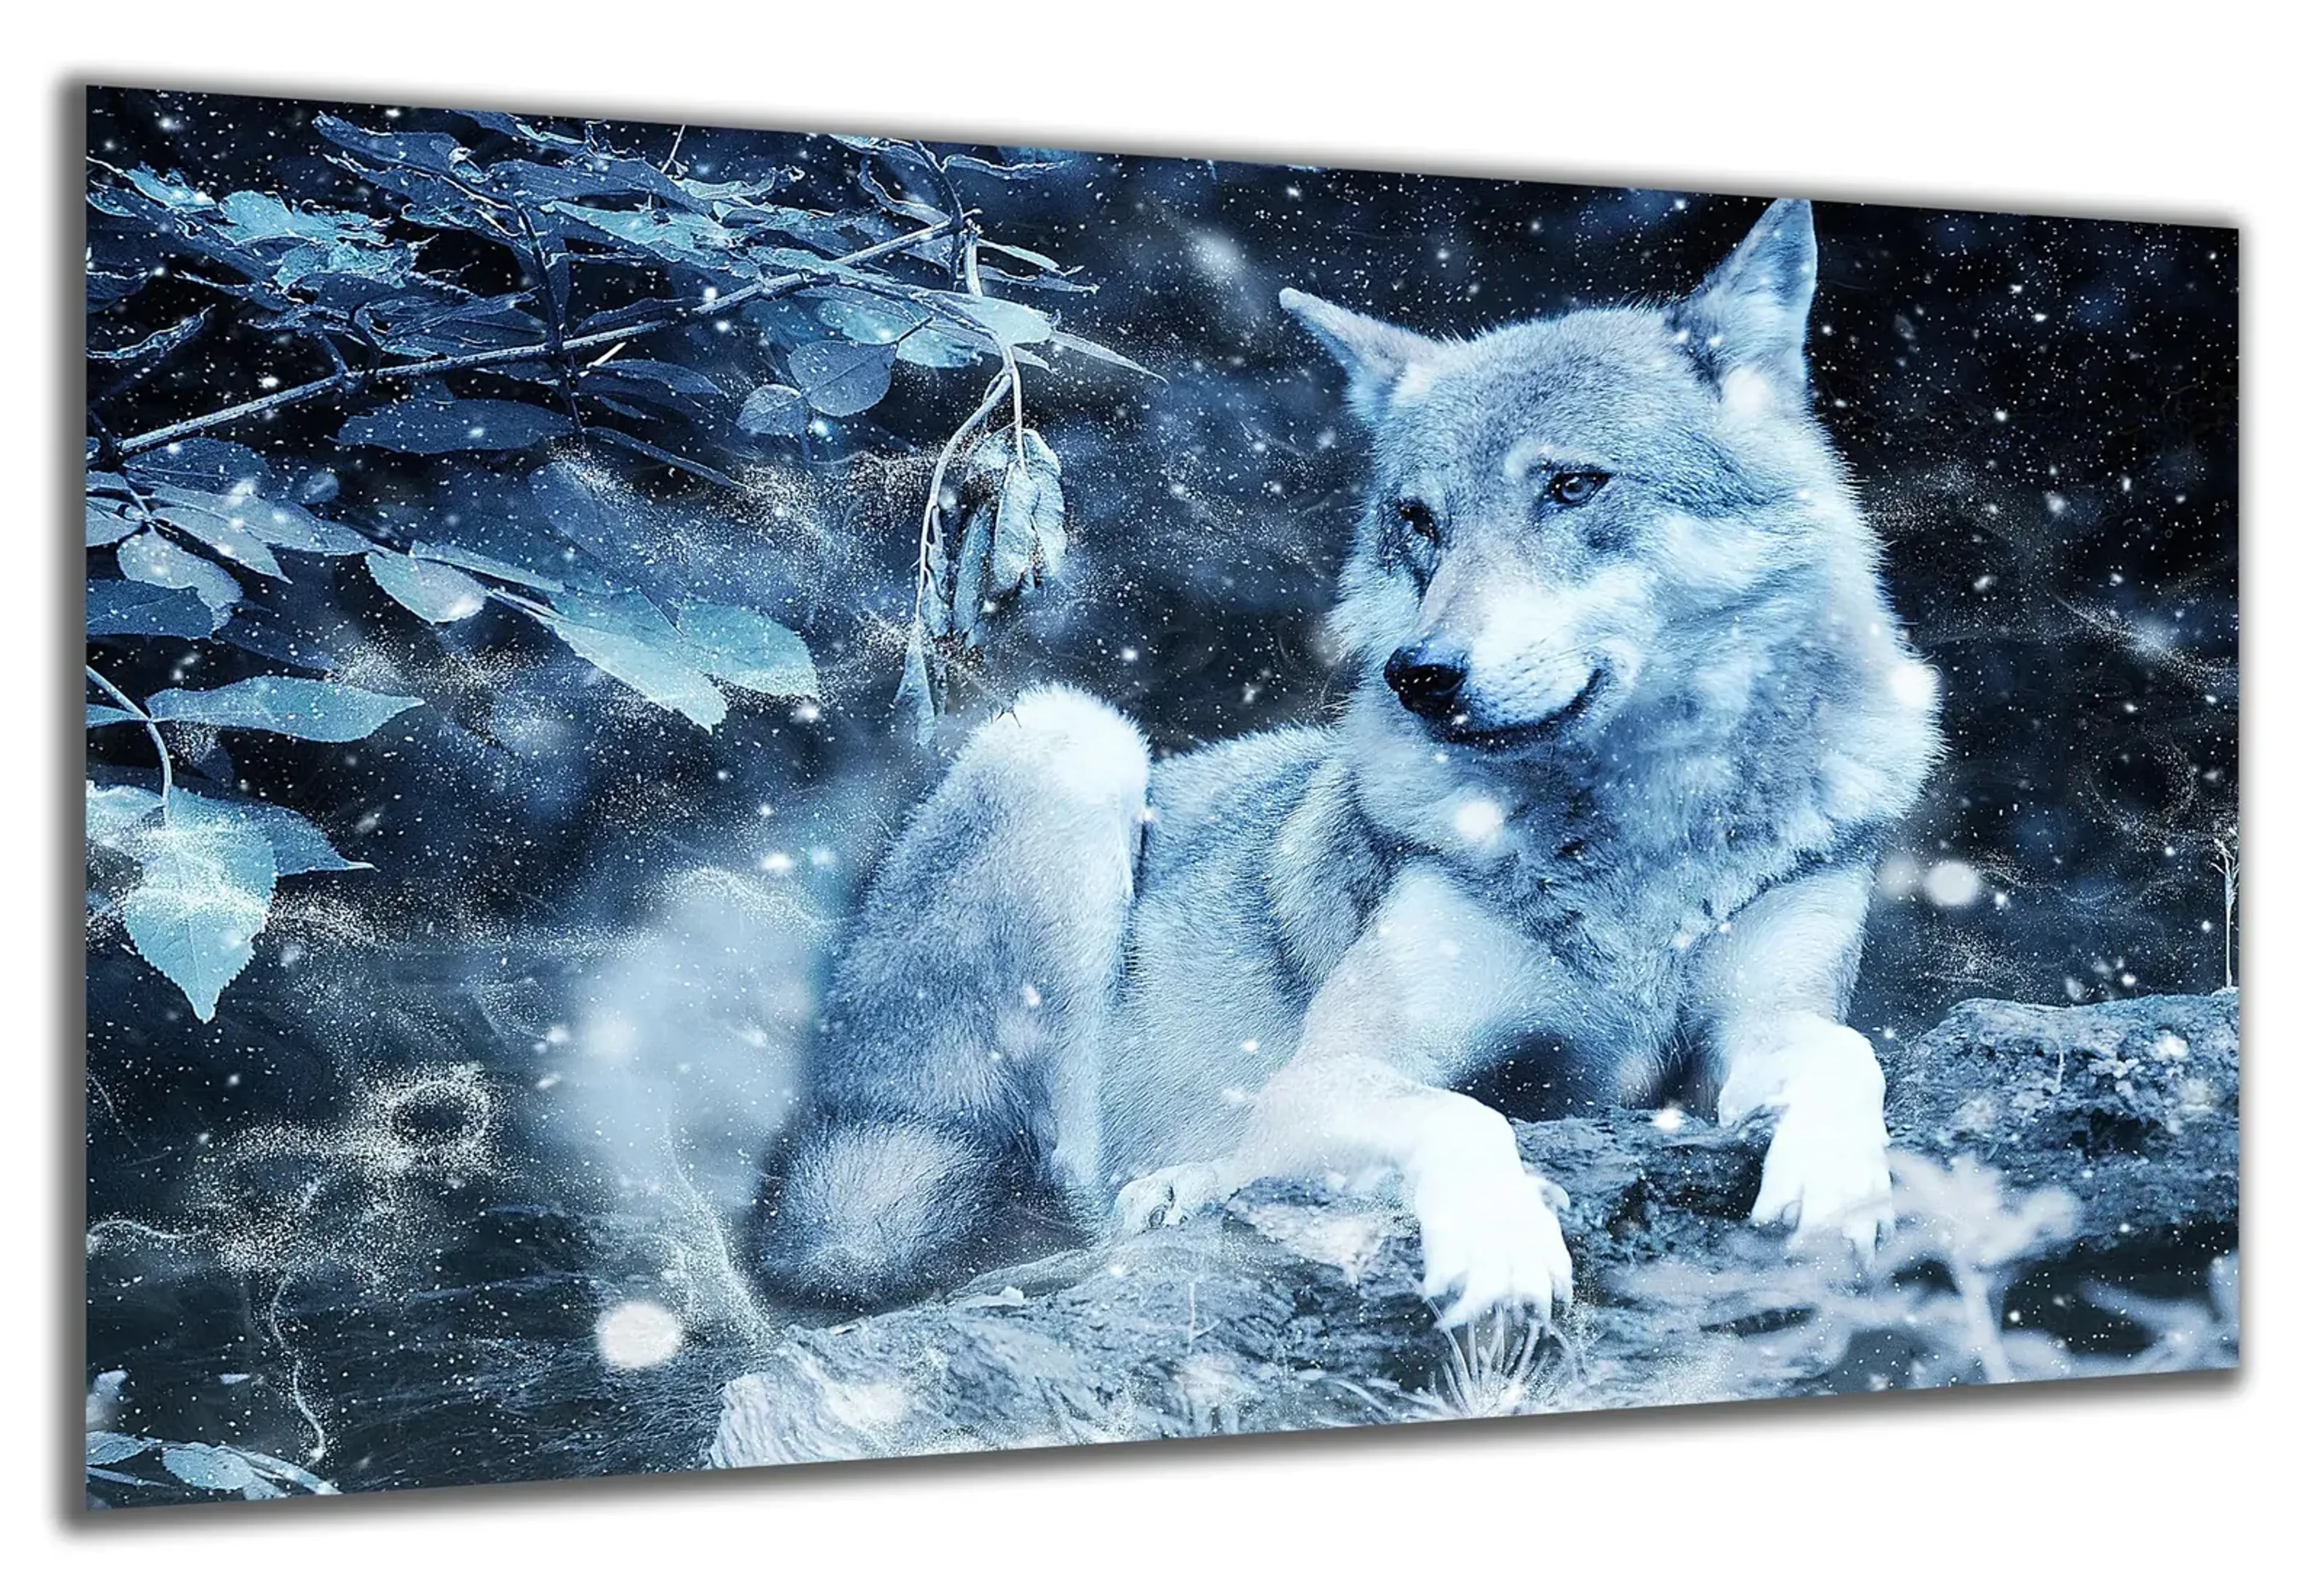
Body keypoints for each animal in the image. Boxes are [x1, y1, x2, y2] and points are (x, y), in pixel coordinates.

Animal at [753, 199, 1940, 1326]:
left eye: (1572, 487)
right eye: (1418, 520)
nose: (1422, 673)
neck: (1634, 841)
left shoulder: (1751, 1028)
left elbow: (1851, 1052)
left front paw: (1841, 1185)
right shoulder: (1326, 1079)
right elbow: (1465, 1115)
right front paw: (1503, 1247)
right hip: (1071, 741)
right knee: (1070, 1199)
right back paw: (1175, 1188)